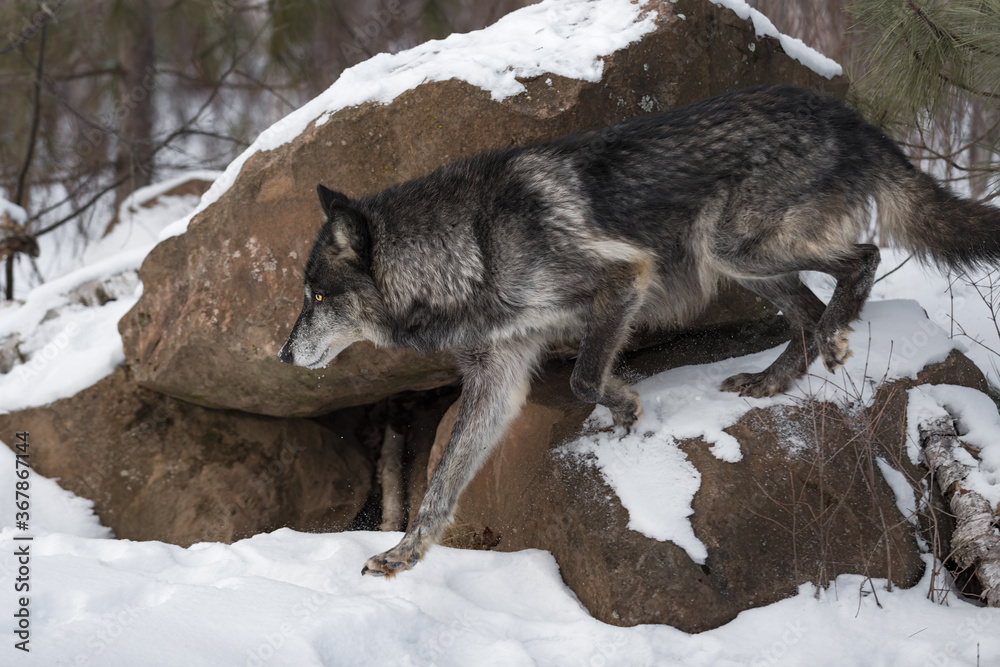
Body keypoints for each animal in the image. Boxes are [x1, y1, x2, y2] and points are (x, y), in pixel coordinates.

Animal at [279, 84, 1000, 577]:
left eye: (316, 296)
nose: (283, 355)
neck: (471, 242)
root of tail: (848, 113)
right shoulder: (497, 378)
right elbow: (444, 481)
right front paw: (405, 552)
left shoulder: (624, 277)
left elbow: (584, 376)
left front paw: (625, 409)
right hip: (734, 259)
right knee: (803, 311)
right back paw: (774, 379)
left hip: (733, 249)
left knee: (863, 260)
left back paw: (838, 337)